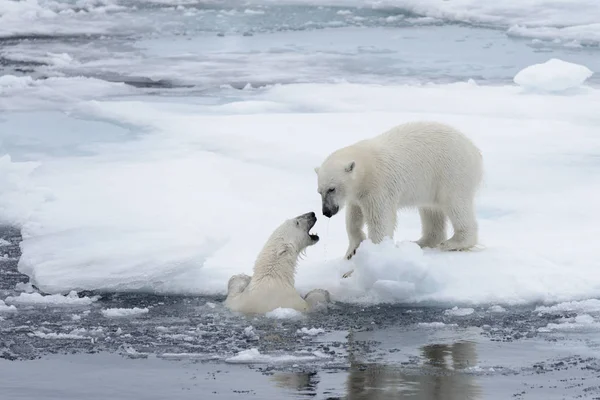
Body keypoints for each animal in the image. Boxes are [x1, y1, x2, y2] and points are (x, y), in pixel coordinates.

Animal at [314, 120, 482, 272]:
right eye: (319, 191)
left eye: (332, 189)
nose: (326, 212)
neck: (367, 166)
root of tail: (474, 150)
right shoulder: (358, 193)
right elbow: (353, 217)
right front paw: (352, 250)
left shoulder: (379, 186)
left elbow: (380, 221)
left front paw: (375, 254)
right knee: (430, 210)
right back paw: (421, 242)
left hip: (451, 172)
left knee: (455, 204)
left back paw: (453, 243)